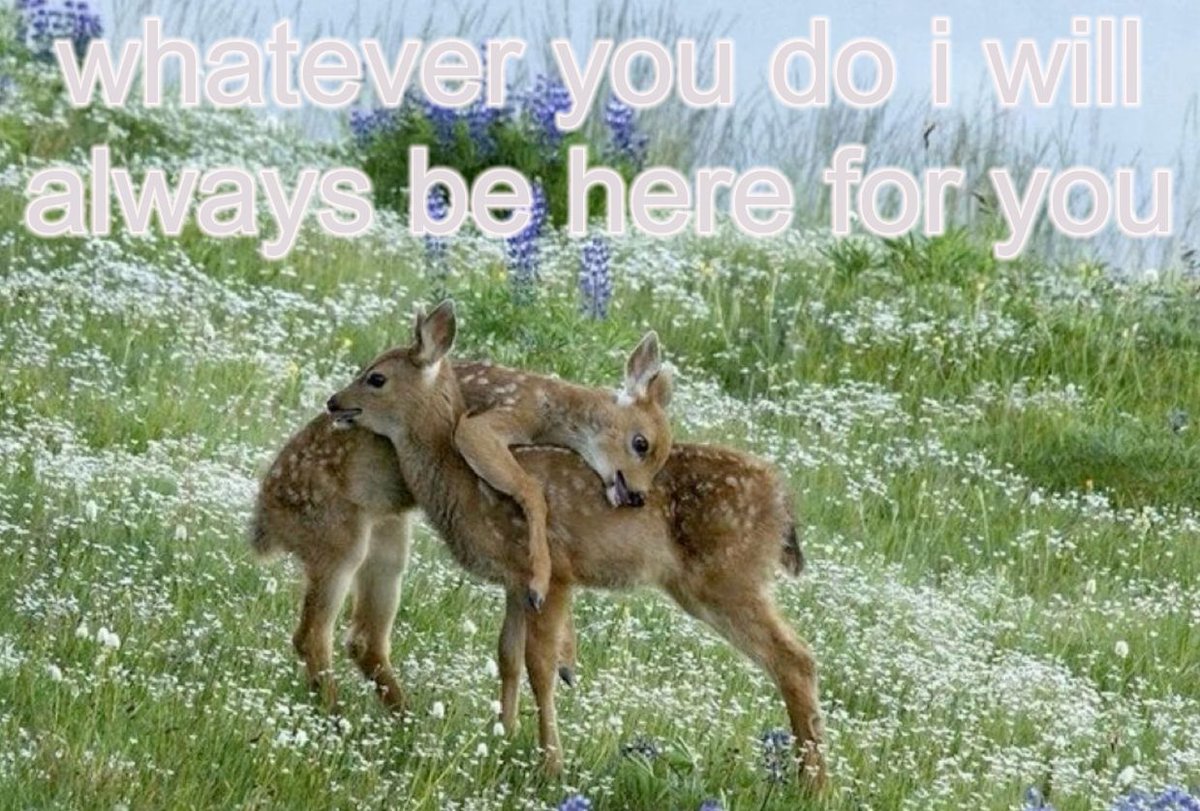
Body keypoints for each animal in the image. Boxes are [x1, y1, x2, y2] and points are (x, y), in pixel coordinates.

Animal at [249, 331, 674, 712]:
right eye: (641, 444)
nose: (637, 496)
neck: (553, 408)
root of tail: (264, 524)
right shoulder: (485, 425)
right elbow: (530, 493)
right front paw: (544, 598)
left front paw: (566, 658)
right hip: (336, 539)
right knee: (314, 634)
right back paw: (338, 711)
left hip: (388, 542)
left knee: (361, 638)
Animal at [324, 301, 827, 789]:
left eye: (376, 378)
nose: (334, 402)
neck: (461, 482)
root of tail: (785, 504)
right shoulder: (516, 584)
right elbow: (507, 656)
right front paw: (503, 737)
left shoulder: (558, 575)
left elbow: (539, 665)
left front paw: (550, 763)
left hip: (726, 579)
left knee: (795, 659)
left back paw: (812, 784)